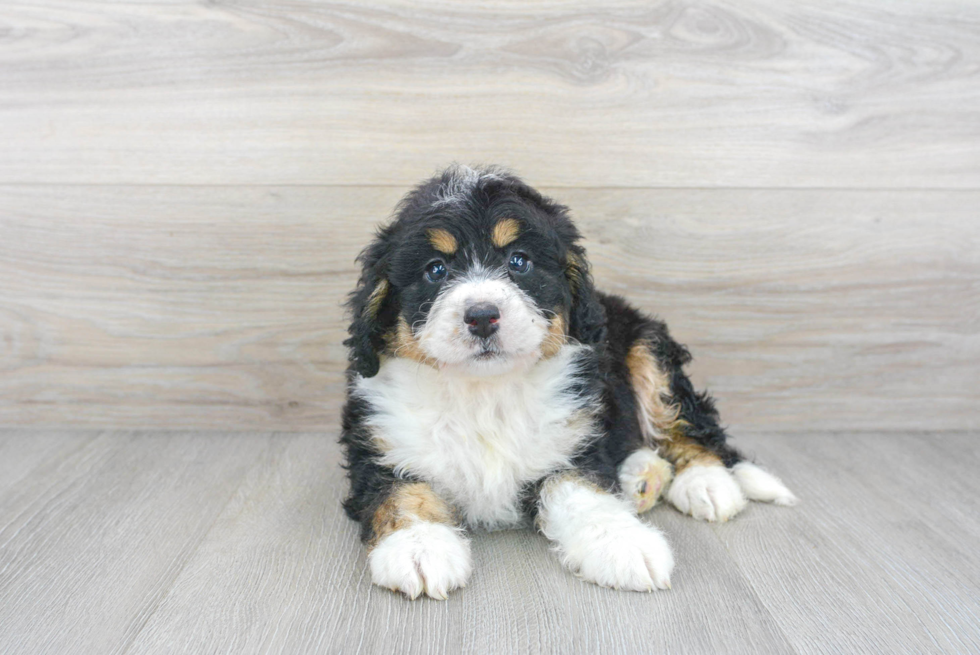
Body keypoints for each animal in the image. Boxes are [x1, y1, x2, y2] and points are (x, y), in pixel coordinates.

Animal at [340, 165, 792, 600]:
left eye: (519, 262)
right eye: (435, 269)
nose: (482, 315)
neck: (484, 391)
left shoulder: (572, 442)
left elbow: (582, 491)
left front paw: (622, 543)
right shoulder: (378, 443)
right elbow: (399, 493)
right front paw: (418, 547)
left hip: (647, 349)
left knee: (685, 424)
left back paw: (707, 483)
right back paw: (641, 479)